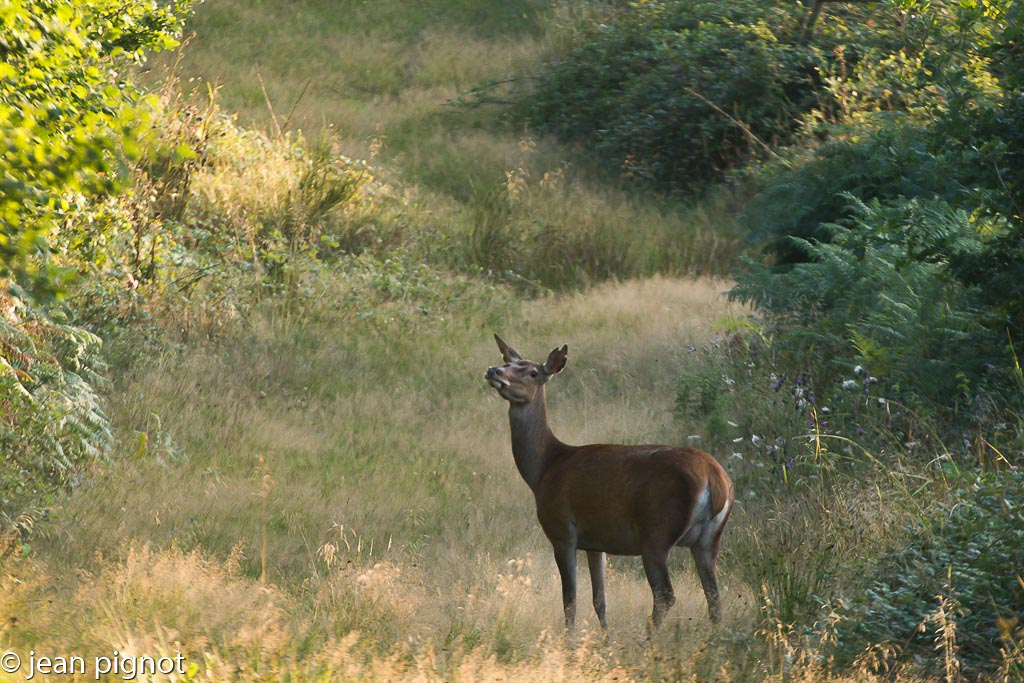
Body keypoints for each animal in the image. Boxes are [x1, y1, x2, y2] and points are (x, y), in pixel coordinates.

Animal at [483, 333, 733, 634]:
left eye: (532, 372)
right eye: (510, 362)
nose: (494, 370)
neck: (545, 469)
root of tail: (715, 479)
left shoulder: (562, 531)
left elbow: (570, 600)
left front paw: (569, 640)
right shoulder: (596, 542)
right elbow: (599, 599)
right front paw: (605, 637)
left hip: (657, 533)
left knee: (665, 594)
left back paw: (648, 638)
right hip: (709, 539)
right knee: (714, 598)